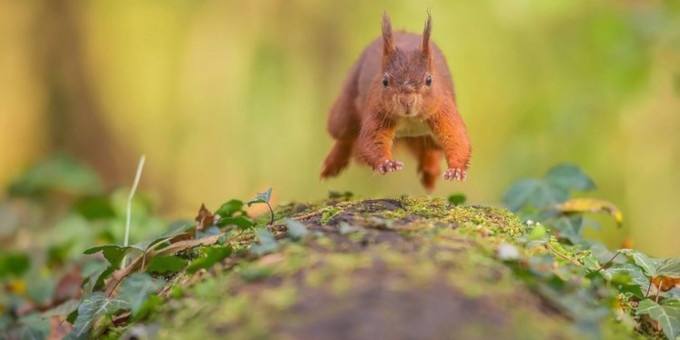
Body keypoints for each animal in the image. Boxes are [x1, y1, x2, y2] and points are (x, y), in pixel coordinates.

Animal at [320, 12, 470, 191]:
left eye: (429, 80)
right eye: (385, 81)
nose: (407, 101)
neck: (410, 120)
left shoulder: (443, 109)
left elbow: (457, 138)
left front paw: (456, 170)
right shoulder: (377, 110)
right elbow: (372, 140)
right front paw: (387, 164)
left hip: (429, 137)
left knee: (430, 150)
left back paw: (430, 172)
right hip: (345, 109)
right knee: (344, 136)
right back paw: (332, 163)